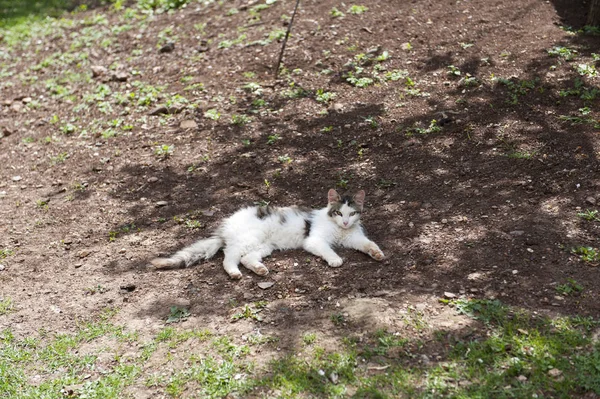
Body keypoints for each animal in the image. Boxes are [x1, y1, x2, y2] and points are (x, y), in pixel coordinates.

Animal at [149, 189, 384, 280]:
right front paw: (335, 259)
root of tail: (226, 225)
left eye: (352, 213)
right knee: (228, 257)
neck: (340, 230)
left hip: (263, 246)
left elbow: (369, 244)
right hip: (248, 239)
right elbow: (328, 250)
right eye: (338, 213)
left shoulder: (356, 238)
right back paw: (235, 273)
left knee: (246, 258)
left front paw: (378, 254)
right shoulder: (314, 240)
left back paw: (260, 269)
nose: (345, 221)